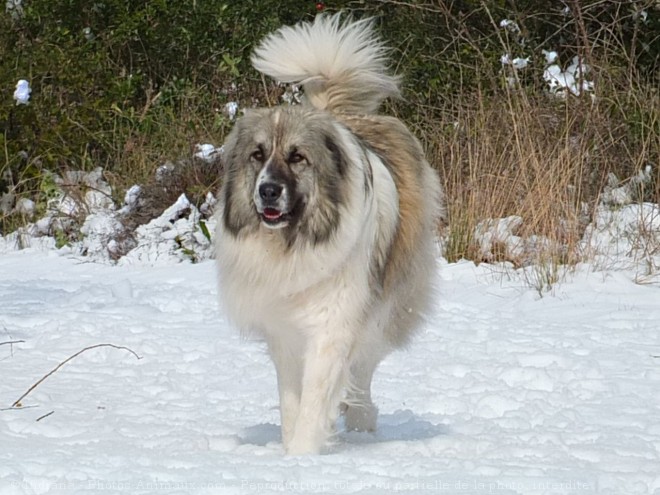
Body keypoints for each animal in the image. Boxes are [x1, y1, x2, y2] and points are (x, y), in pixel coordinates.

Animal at [215, 13, 444, 456]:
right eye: (257, 155)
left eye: (297, 158)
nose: (268, 190)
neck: (294, 244)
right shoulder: (283, 330)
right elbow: (291, 401)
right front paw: (290, 449)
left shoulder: (333, 321)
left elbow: (316, 395)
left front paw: (303, 455)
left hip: (386, 303)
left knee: (365, 364)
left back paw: (360, 419)